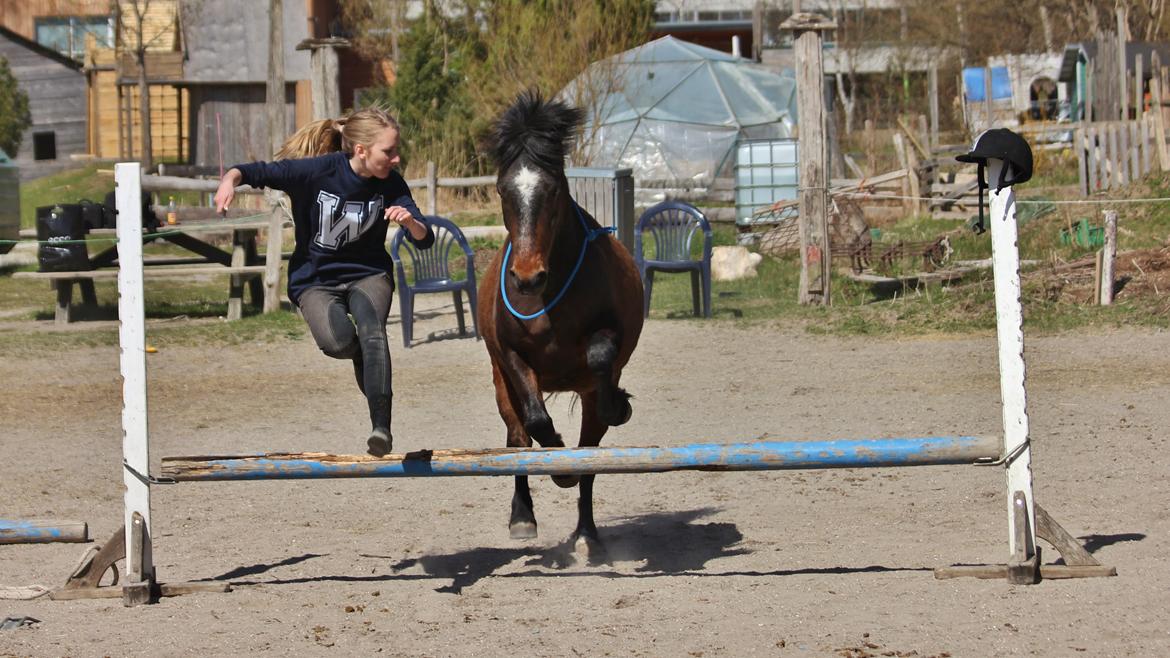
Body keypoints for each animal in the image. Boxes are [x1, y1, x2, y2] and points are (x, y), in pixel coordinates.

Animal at [477, 90, 650, 552]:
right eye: (502, 189)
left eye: (552, 189)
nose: (526, 277)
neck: (549, 301)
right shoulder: (512, 357)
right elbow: (537, 423)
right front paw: (556, 465)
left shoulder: (609, 341)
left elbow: (601, 355)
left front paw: (618, 406)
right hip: (502, 388)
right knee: (518, 441)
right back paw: (523, 516)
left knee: (589, 455)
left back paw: (588, 532)